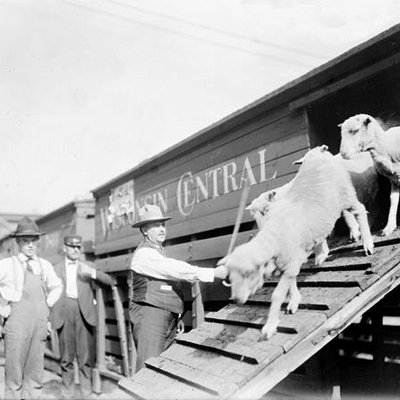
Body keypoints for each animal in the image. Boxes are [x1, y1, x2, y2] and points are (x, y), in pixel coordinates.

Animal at [217, 145, 374, 340]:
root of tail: (319, 153)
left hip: (346, 195)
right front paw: (294, 301)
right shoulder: (289, 264)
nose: (237, 300)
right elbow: (290, 284)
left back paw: (367, 243)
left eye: (248, 274)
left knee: (360, 210)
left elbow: (277, 294)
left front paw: (269, 327)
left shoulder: (291, 263)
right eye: (231, 276)